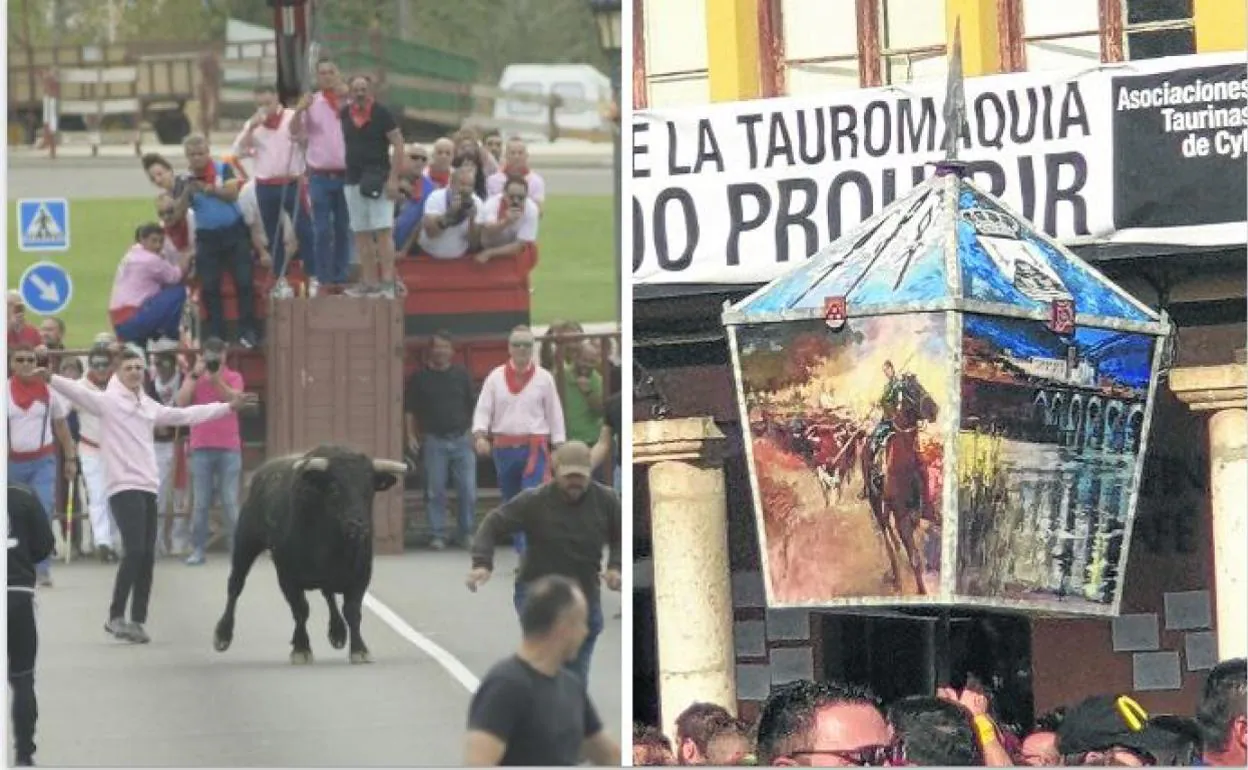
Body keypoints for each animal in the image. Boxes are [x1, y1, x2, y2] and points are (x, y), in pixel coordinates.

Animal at [212, 446, 406, 663]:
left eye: (369, 490)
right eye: (334, 489)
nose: (358, 524)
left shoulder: (361, 575)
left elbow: (352, 611)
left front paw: (359, 650)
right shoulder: (287, 577)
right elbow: (301, 610)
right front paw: (301, 649)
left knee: (328, 595)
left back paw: (338, 633)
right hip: (245, 543)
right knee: (235, 585)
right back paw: (222, 635)